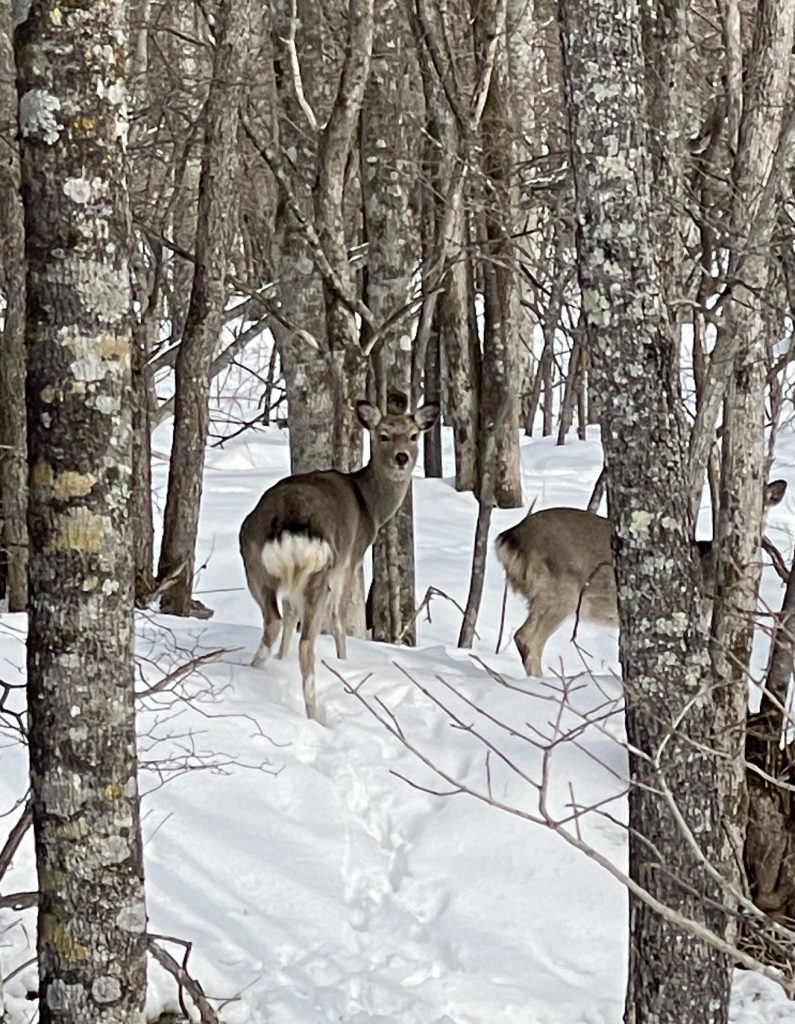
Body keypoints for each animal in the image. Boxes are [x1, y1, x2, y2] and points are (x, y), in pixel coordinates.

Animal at [238, 399, 438, 720]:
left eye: (413, 435)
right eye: (383, 435)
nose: (402, 458)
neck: (372, 507)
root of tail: (290, 523)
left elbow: (291, 614)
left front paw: (281, 659)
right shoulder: (352, 558)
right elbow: (341, 619)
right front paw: (344, 661)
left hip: (254, 564)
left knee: (275, 619)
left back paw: (255, 671)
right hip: (321, 569)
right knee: (307, 639)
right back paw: (312, 712)